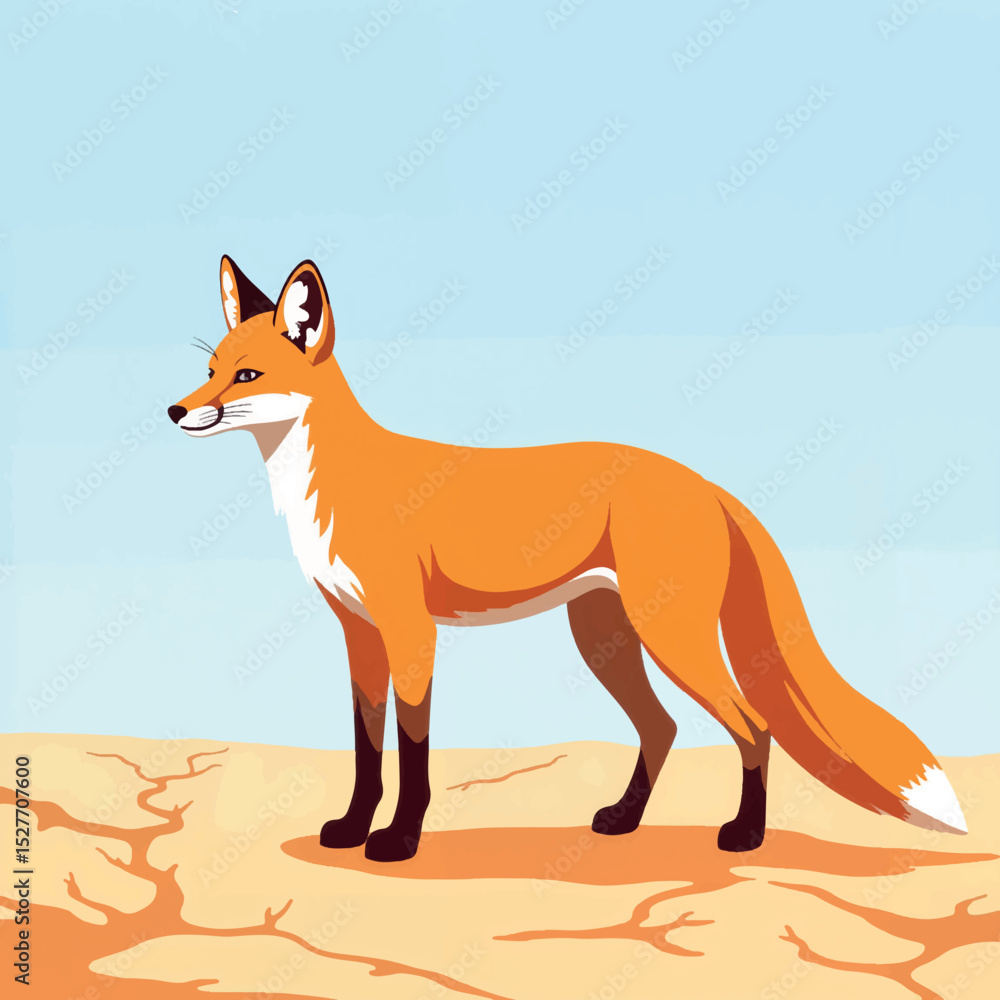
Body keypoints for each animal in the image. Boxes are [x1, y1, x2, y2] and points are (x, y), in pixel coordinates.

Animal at [170, 256, 968, 862]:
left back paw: (744, 834)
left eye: (247, 377)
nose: (175, 411)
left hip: (669, 637)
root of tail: (704, 483)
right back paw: (625, 819)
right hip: (605, 637)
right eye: (209, 367)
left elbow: (413, 749)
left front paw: (397, 841)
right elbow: (368, 750)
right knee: (662, 727)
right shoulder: (359, 633)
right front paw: (351, 828)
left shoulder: (411, 632)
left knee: (751, 723)